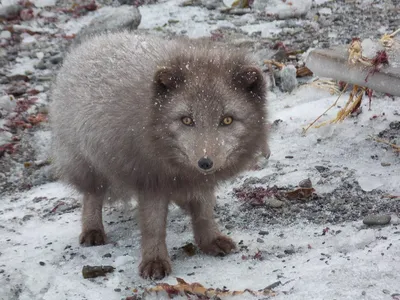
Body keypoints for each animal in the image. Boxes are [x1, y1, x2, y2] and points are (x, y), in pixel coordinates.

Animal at [49, 31, 268, 280]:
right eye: (186, 120)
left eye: (227, 120)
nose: (205, 162)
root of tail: (94, 41)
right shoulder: (150, 179)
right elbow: (153, 227)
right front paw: (154, 261)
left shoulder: (195, 180)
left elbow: (203, 212)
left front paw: (210, 240)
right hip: (87, 163)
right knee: (92, 196)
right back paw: (92, 229)